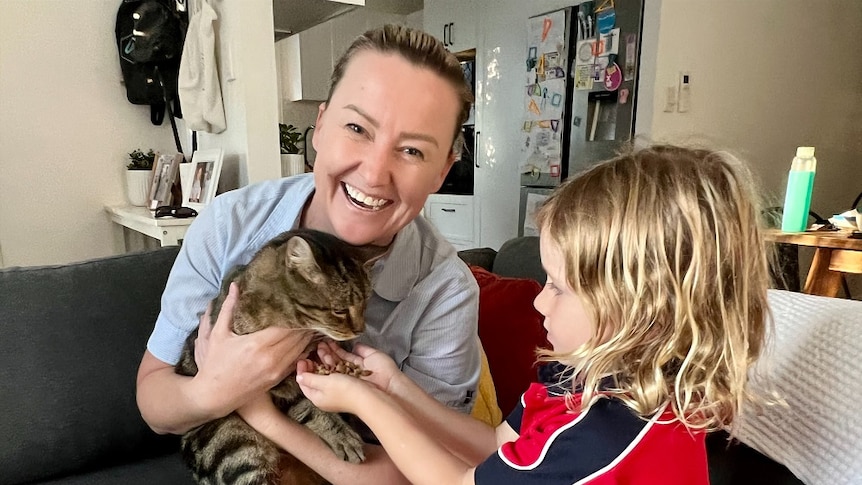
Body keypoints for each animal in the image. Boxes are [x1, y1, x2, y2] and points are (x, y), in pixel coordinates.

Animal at [176, 228, 384, 484]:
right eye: (339, 310)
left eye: (365, 305)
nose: (360, 330)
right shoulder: (268, 382)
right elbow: (306, 406)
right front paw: (341, 433)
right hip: (235, 448)